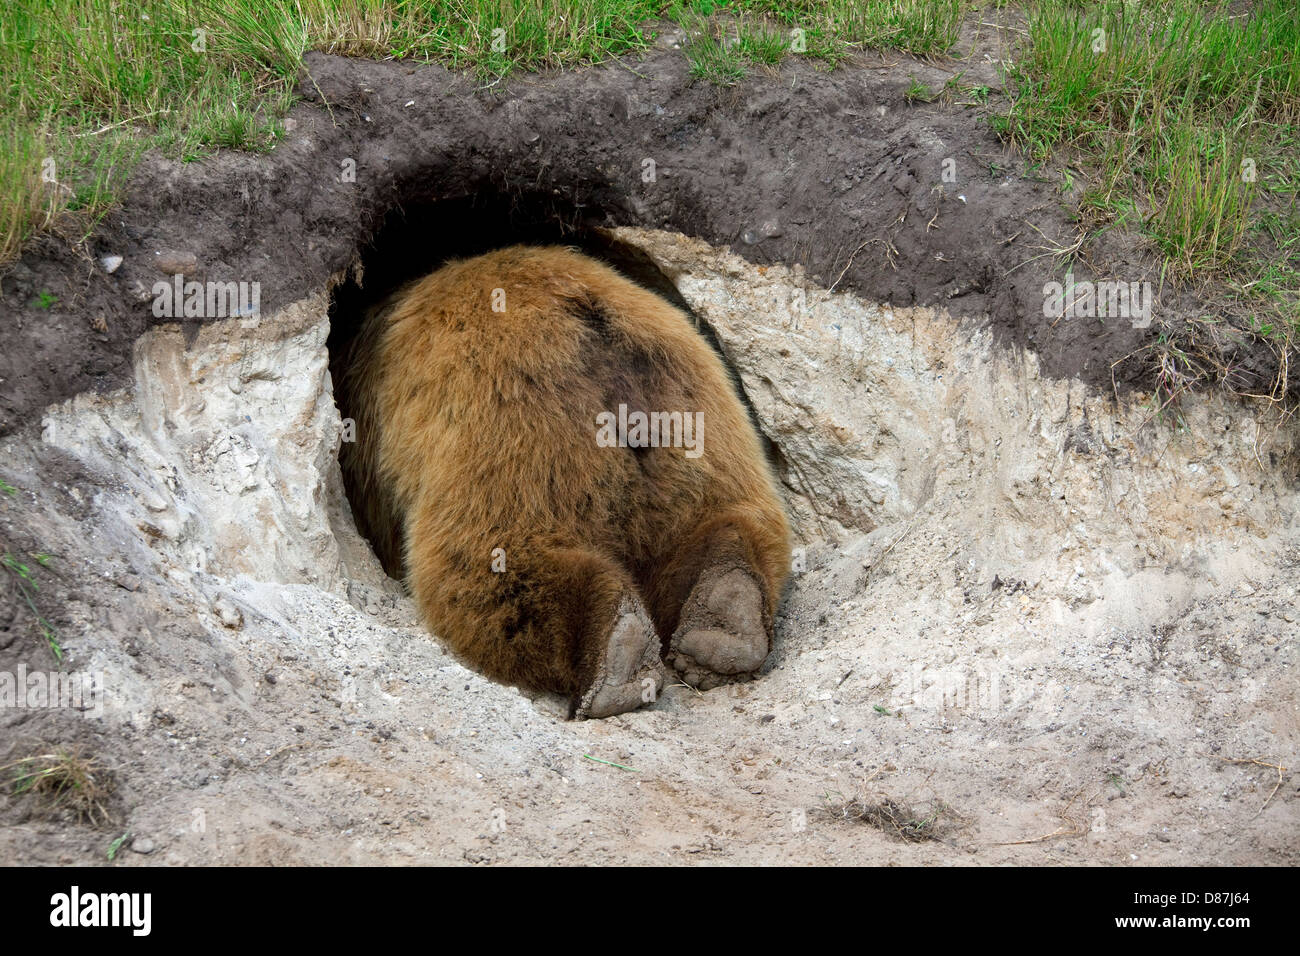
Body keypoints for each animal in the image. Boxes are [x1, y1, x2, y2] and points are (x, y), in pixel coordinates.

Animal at [332, 247, 790, 717]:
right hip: (698, 424)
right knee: (725, 515)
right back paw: (724, 615)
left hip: (512, 425)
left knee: (487, 563)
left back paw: (618, 653)